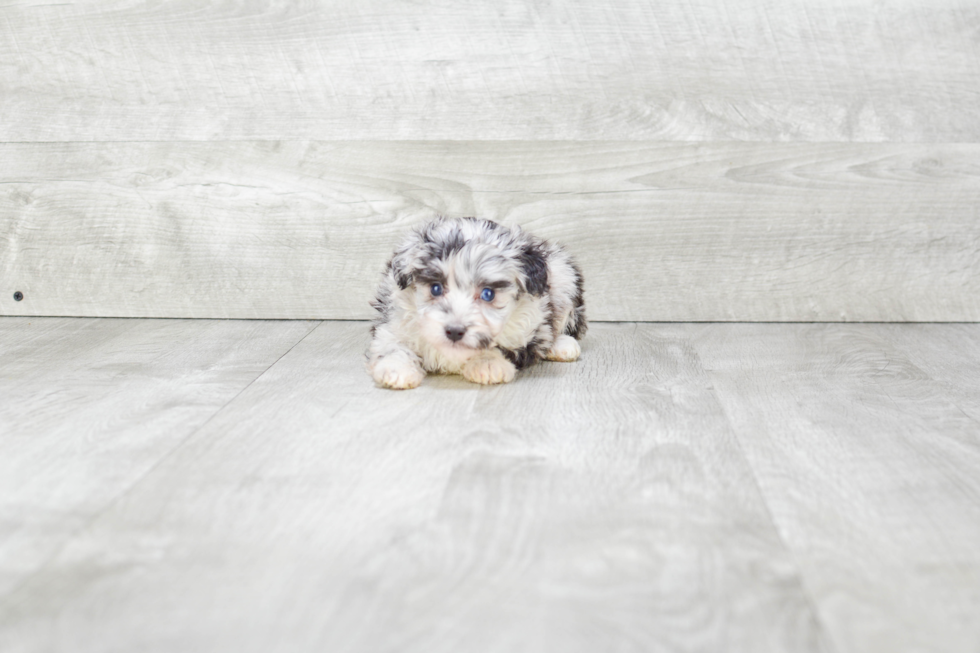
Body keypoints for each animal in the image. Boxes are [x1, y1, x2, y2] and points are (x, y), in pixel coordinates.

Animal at [366, 216, 580, 388]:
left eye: (488, 294)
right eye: (436, 288)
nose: (454, 331)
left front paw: (487, 362)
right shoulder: (393, 319)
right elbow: (391, 343)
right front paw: (396, 368)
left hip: (564, 274)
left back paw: (562, 345)